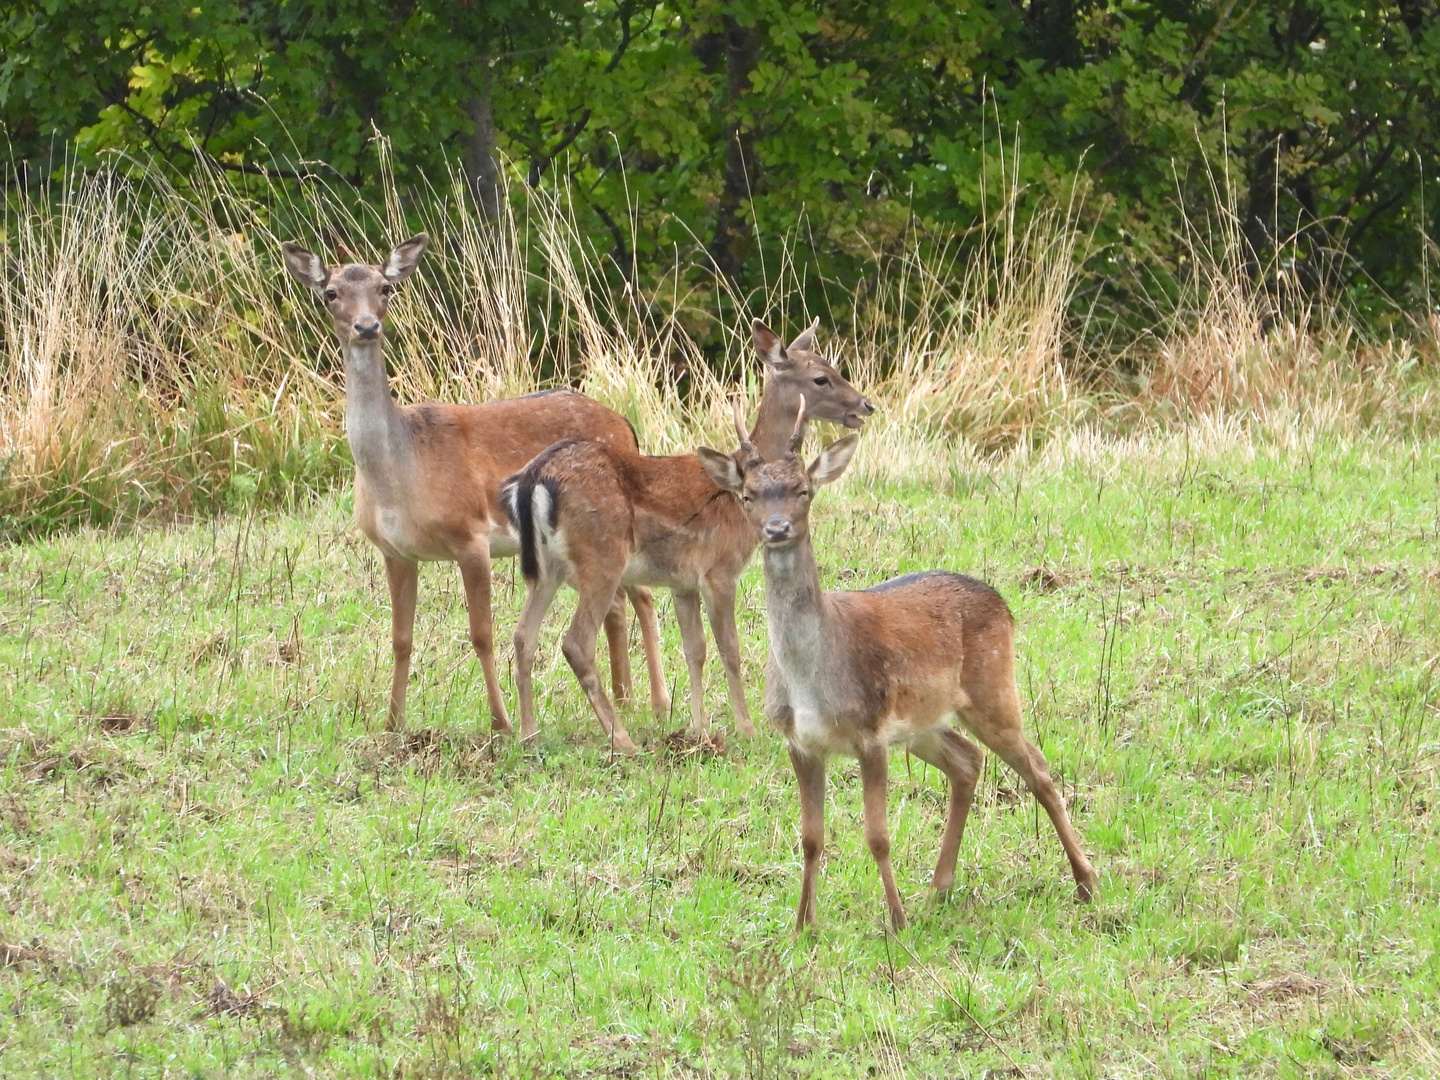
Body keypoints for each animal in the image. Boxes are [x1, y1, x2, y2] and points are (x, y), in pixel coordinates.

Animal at [283, 236, 671, 737]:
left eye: (386, 287)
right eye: (330, 292)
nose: (366, 326)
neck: (399, 475)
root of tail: (625, 424)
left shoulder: (470, 534)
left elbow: (481, 634)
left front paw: (501, 722)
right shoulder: (394, 551)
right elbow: (400, 638)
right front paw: (393, 723)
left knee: (642, 595)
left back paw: (658, 703)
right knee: (619, 601)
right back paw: (624, 698)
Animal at [501, 316, 869, 754]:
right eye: (821, 378)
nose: (865, 406)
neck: (736, 490)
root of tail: (534, 480)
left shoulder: (682, 581)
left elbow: (695, 650)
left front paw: (698, 729)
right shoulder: (719, 570)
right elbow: (729, 649)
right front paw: (746, 729)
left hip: (547, 568)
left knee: (523, 636)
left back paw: (528, 734)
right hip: (601, 557)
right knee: (576, 642)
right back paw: (621, 740)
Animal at [699, 406, 1100, 933]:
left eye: (803, 489)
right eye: (748, 495)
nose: (778, 528)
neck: (811, 679)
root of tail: (1003, 604)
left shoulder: (870, 732)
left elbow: (877, 834)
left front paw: (895, 920)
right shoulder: (799, 741)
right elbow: (810, 837)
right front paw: (803, 925)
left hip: (993, 686)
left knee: (1038, 767)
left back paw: (1086, 880)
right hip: (923, 723)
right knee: (968, 761)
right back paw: (939, 888)